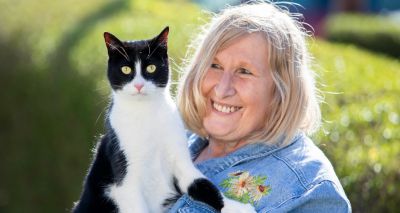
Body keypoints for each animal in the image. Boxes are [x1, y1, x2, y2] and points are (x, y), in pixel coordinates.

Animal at [72, 27, 253, 213]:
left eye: (151, 68)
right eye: (126, 70)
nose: (139, 85)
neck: (146, 114)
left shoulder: (180, 159)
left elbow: (203, 184)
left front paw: (234, 207)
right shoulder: (125, 180)